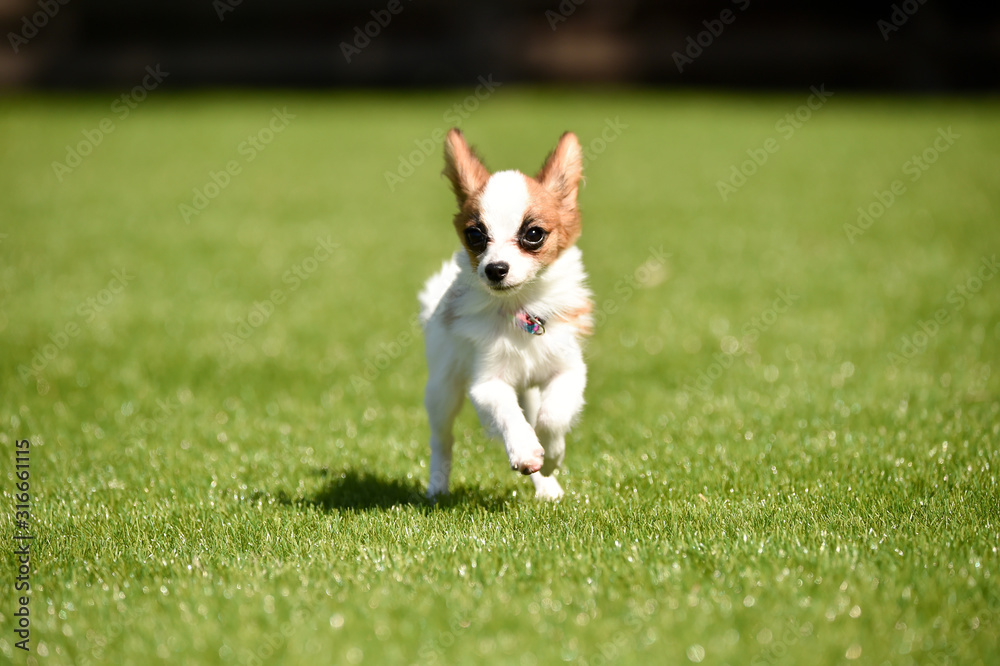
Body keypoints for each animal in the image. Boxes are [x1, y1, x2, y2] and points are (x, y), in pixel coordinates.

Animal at [418, 129, 593, 500]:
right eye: (475, 235)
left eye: (533, 234)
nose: (495, 269)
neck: (519, 308)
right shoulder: (486, 384)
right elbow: (508, 415)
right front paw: (526, 452)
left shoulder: (568, 370)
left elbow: (551, 417)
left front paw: (551, 457)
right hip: (442, 388)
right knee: (442, 439)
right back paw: (437, 487)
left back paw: (547, 487)